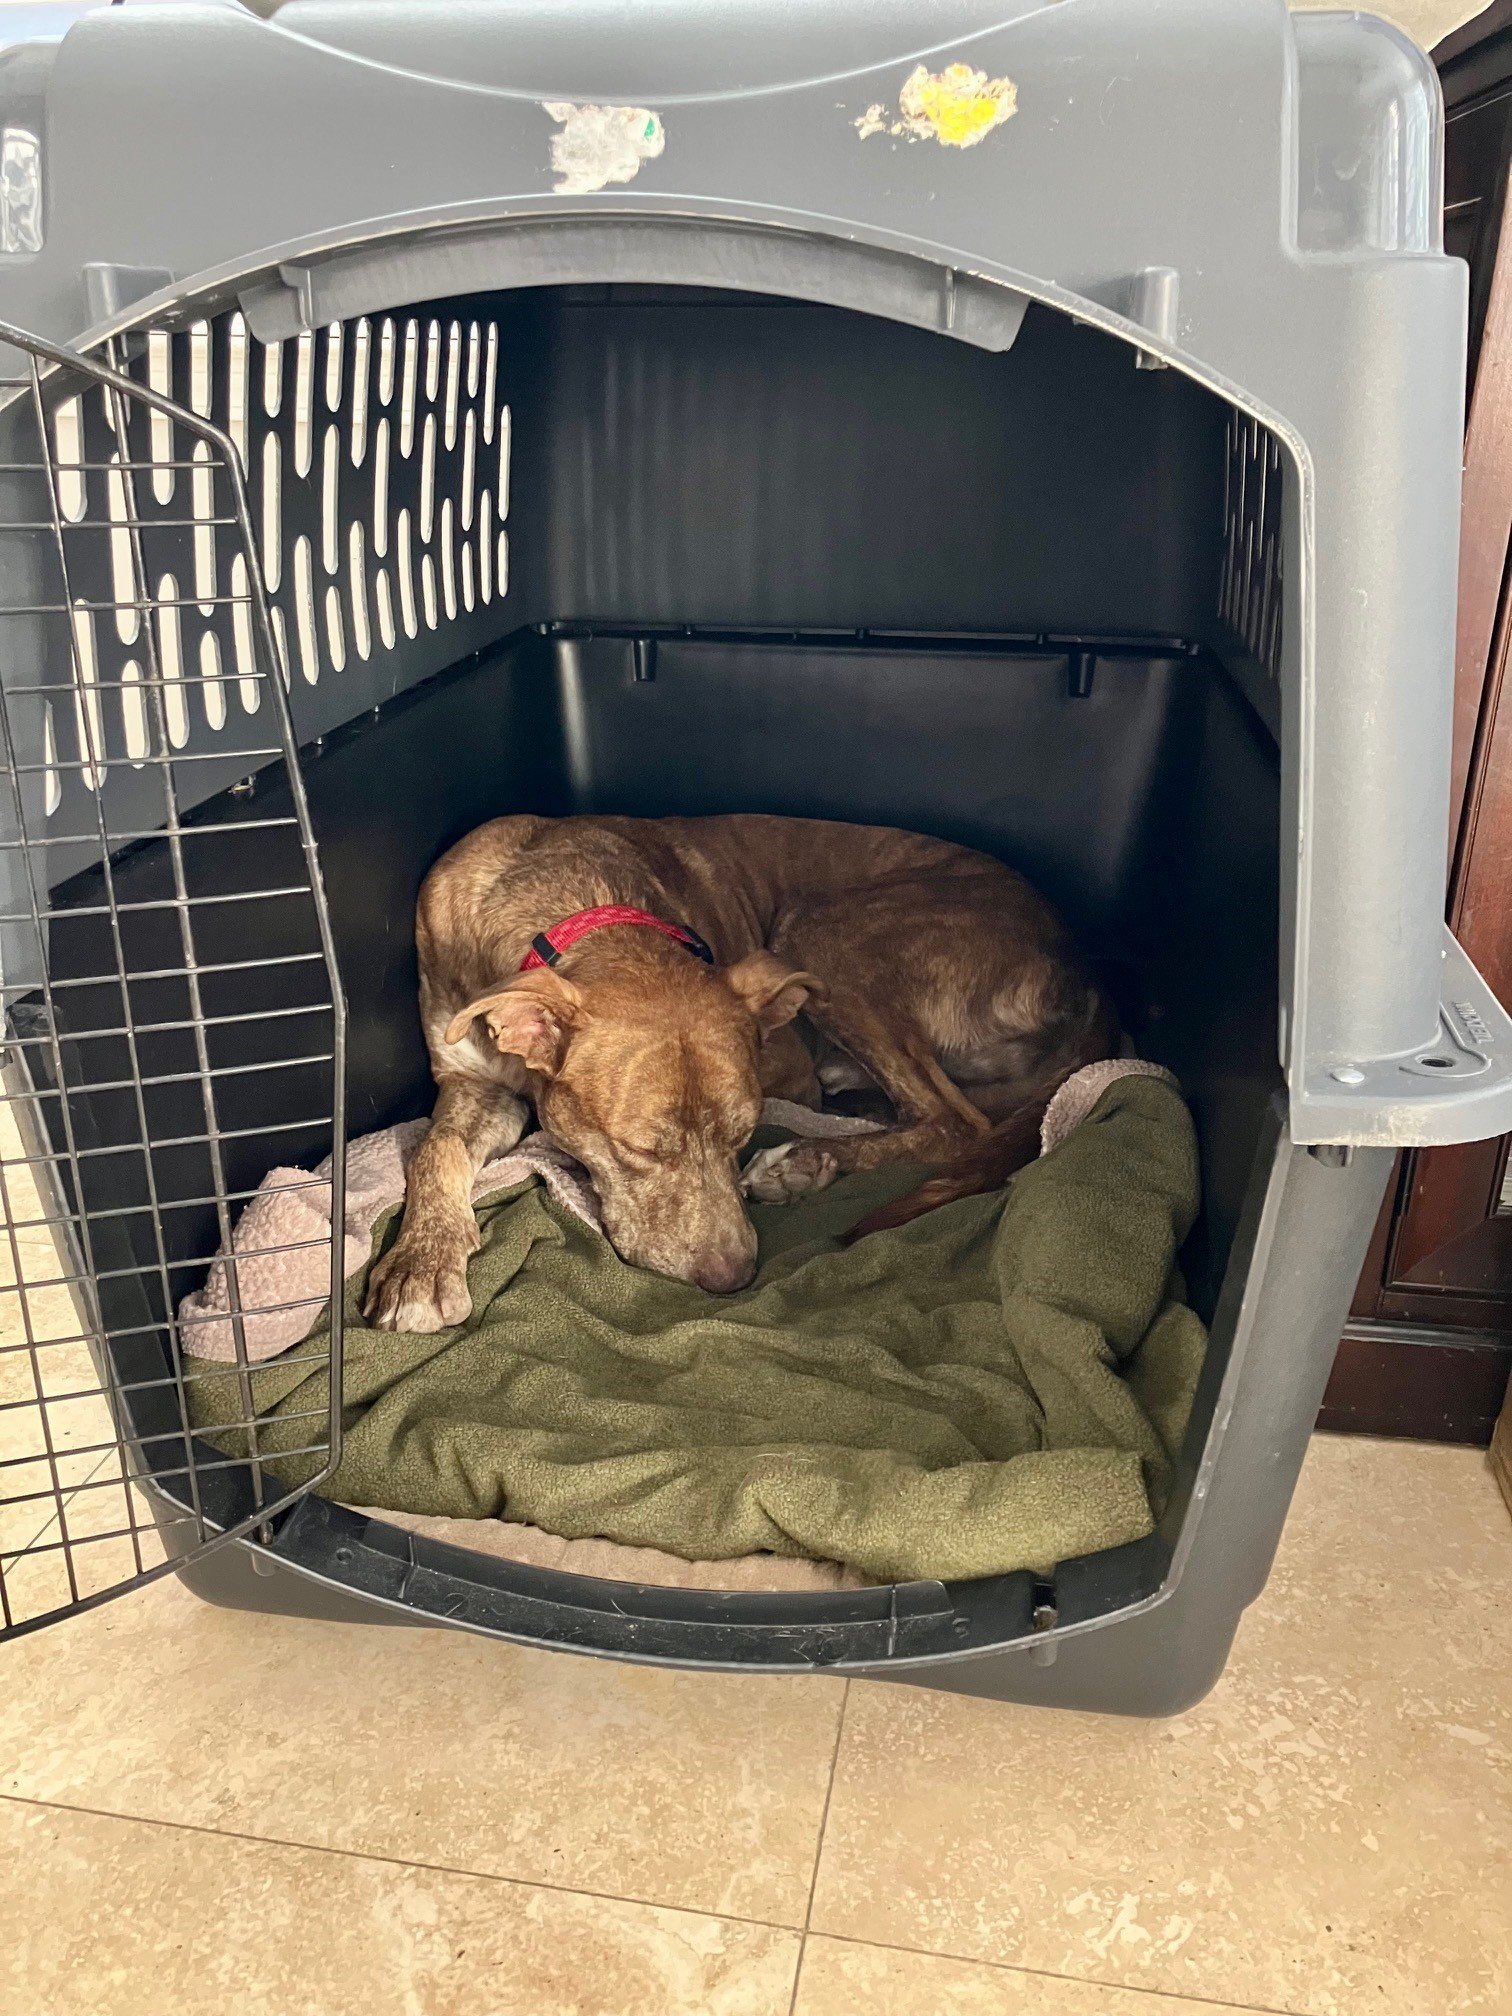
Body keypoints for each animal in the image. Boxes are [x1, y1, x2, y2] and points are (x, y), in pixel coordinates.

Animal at [356, 810, 1112, 1330]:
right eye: (640, 1148)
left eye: (741, 1133)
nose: (733, 1278)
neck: (586, 913)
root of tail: (1087, 976)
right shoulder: (471, 1082)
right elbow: (436, 1147)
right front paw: (422, 1263)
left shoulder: (791, 1073)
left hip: (823, 930)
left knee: (954, 1121)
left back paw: (803, 1160)